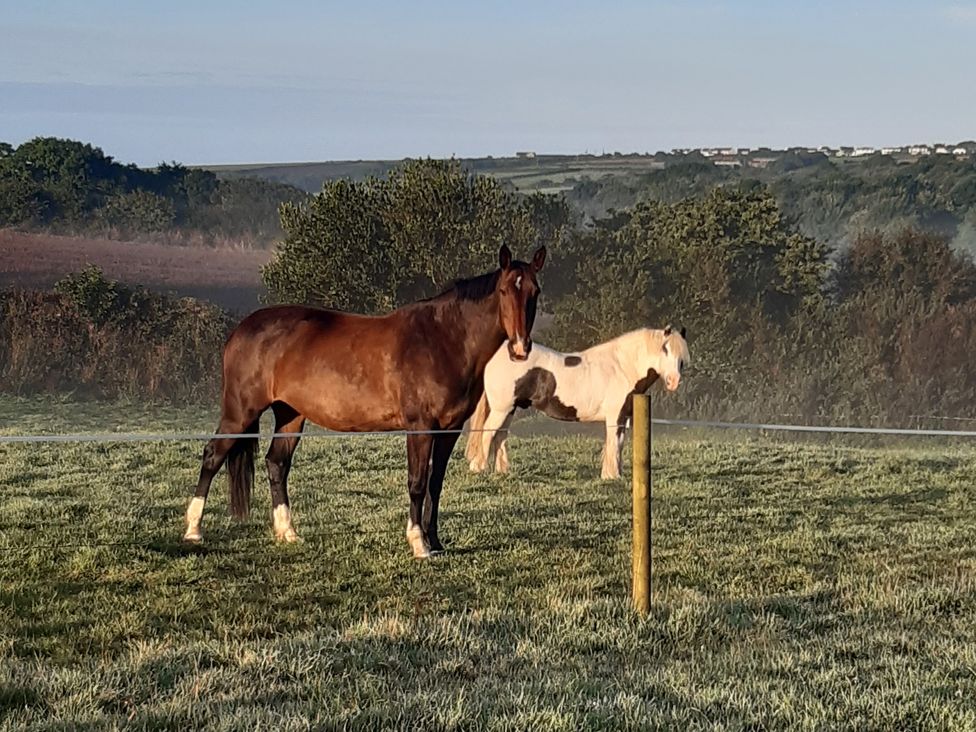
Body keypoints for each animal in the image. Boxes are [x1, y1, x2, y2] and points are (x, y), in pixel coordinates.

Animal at [183, 244, 546, 558]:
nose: (520, 348)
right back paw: (193, 530)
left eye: (535, 292)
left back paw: (287, 532)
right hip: (240, 412)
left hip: (290, 415)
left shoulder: (449, 429)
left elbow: (435, 484)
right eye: (504, 291)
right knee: (213, 455)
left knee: (277, 463)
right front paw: (419, 544)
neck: (443, 340)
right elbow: (417, 482)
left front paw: (436, 542)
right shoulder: (420, 428)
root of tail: (241, 330)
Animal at [465, 325, 689, 479]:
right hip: (501, 409)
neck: (621, 368)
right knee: (487, 433)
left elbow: (619, 445)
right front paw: (611, 476)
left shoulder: (624, 417)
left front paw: (615, 474)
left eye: (682, 356)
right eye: (664, 349)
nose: (674, 381)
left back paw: (502, 471)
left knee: (500, 436)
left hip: (509, 410)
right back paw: (479, 468)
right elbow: (613, 444)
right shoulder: (614, 416)